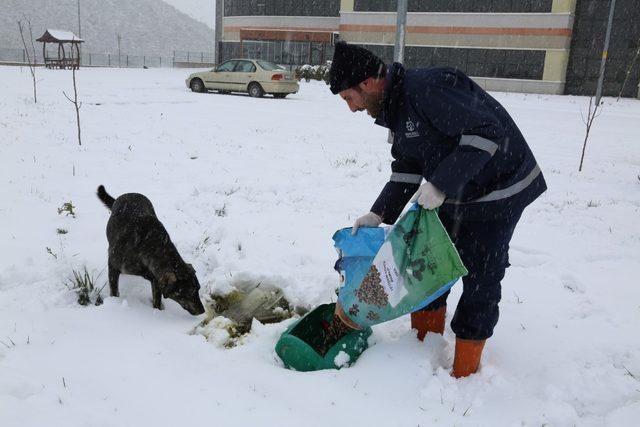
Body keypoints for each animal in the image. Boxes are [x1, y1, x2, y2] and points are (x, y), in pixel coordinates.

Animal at [97, 186, 205, 316]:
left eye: (198, 289)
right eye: (188, 293)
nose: (203, 311)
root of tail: (129, 194)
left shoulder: (156, 280)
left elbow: (156, 300)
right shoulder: (113, 266)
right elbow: (114, 291)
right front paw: (114, 303)